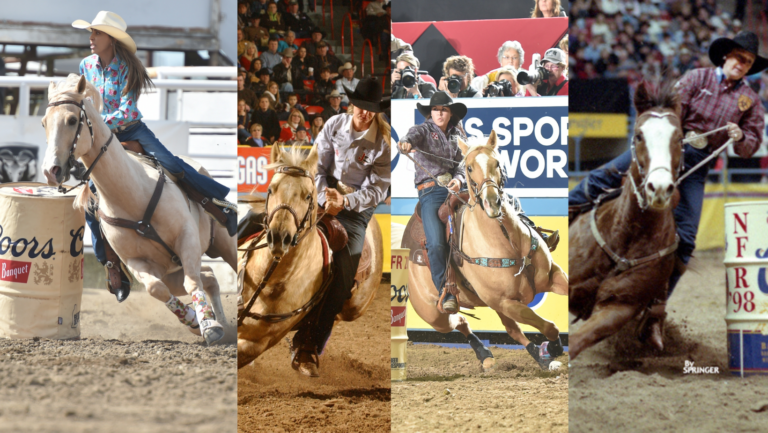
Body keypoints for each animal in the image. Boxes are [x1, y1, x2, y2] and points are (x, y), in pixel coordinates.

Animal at [41, 74, 236, 344]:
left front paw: (209, 325)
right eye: (44, 123)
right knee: (209, 276)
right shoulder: (136, 262)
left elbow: (192, 282)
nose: (51, 171)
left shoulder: (186, 238)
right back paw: (225, 325)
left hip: (225, 243)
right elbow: (157, 289)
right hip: (170, 271)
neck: (133, 195)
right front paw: (195, 321)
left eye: (71, 120)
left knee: (226, 268)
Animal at [237, 143, 383, 369]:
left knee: (331, 318)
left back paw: (306, 350)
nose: (279, 238)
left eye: (307, 196)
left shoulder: (256, 343)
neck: (268, 280)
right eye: (270, 189)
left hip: (354, 308)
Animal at [405, 131, 569, 370]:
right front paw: (553, 348)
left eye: (497, 163)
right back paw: (489, 353)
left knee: (500, 328)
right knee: (461, 321)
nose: (492, 202)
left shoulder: (553, 276)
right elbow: (549, 326)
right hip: (434, 314)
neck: (510, 244)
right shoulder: (505, 302)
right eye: (469, 167)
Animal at [568, 81, 683, 360]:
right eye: (638, 135)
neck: (625, 233)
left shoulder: (619, 307)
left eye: (679, 138)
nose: (659, 188)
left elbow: (576, 342)